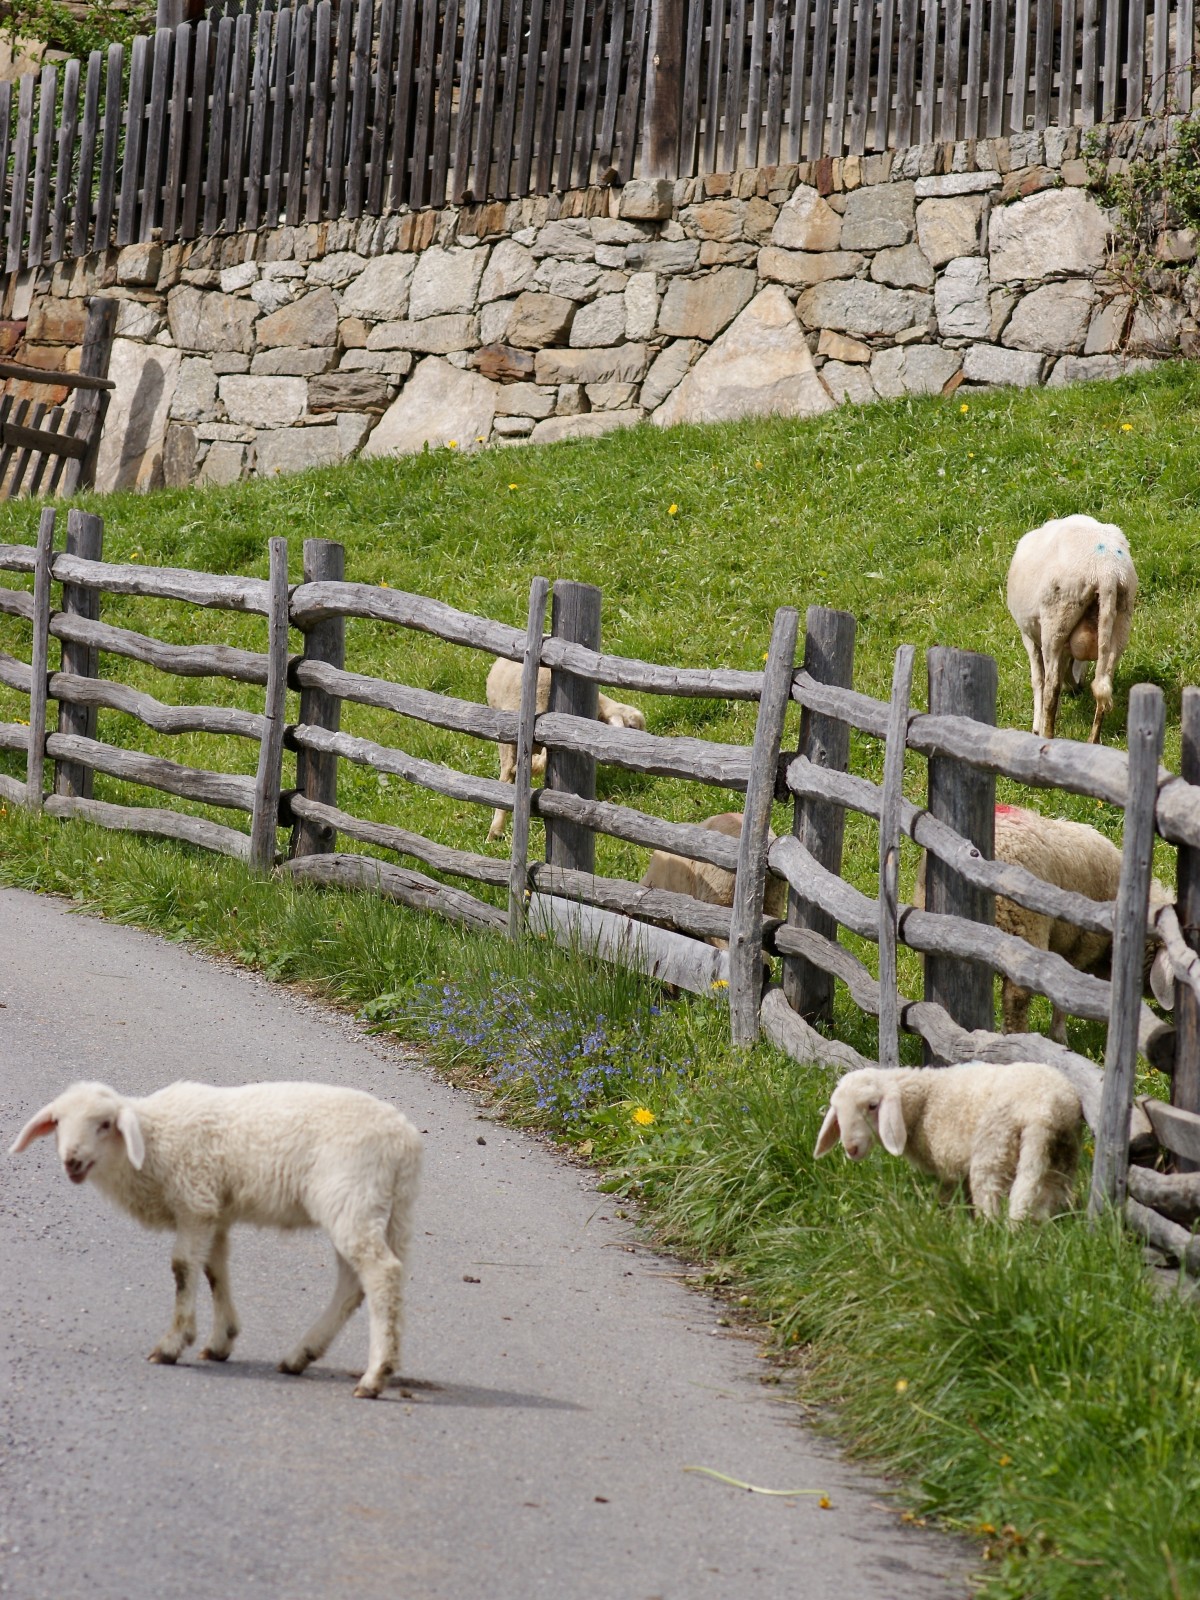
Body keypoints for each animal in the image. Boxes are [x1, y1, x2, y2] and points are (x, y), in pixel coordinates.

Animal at [8, 1075, 422, 1401]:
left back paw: (375, 1376)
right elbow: (214, 1269)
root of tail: (404, 1141)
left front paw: (174, 1343)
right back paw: (301, 1356)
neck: (154, 1142)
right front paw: (222, 1339)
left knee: (380, 1273)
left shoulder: (195, 1200)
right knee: (356, 1283)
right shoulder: (214, 1210)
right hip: (389, 1211)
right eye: (58, 1122)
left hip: (351, 1198)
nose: (72, 1161)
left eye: (105, 1124)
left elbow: (182, 1268)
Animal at [486, 656, 649, 844]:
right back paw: (495, 832)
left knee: (508, 778)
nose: (637, 770)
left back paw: (495, 831)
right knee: (508, 776)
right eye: (633, 726)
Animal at [812, 1062, 1088, 1222]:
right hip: (1060, 1153)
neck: (924, 1101)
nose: (851, 1148)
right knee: (1049, 1190)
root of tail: (1048, 1108)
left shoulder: (949, 1167)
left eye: (872, 1106)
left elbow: (950, 1198)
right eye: (837, 1112)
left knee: (995, 1193)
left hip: (995, 1148)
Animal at [1011, 512, 1139, 742]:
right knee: (1103, 684)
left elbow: (1038, 679)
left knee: (1051, 687)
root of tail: (1106, 571)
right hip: (1122, 620)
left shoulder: (1028, 635)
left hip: (1056, 621)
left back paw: (1047, 734)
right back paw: (1093, 741)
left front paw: (1036, 725)